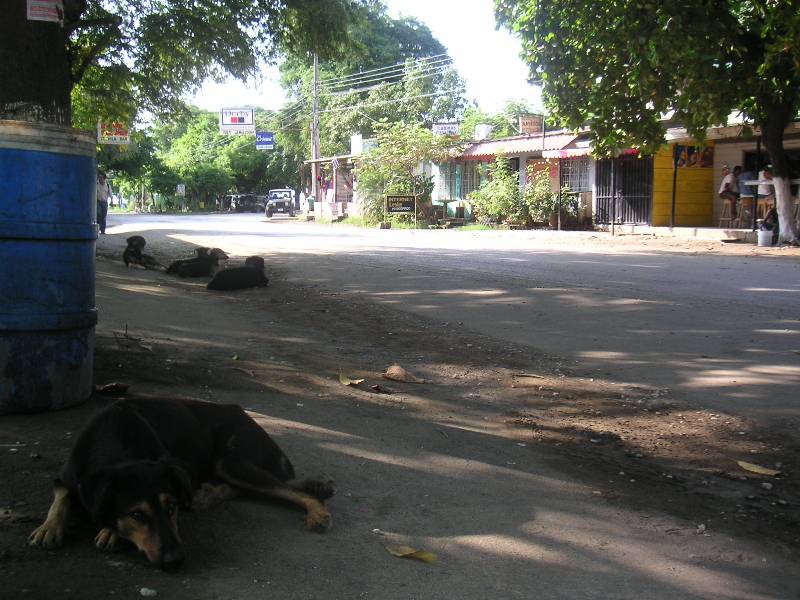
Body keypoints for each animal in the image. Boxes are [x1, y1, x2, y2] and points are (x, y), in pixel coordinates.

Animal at [28, 398, 334, 572]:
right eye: (137, 514)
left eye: (172, 506)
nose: (175, 561)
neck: (115, 437)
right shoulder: (68, 476)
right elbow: (61, 498)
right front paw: (49, 527)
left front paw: (110, 531)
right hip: (227, 465)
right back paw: (208, 494)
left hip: (230, 459)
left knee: (286, 488)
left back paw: (317, 511)